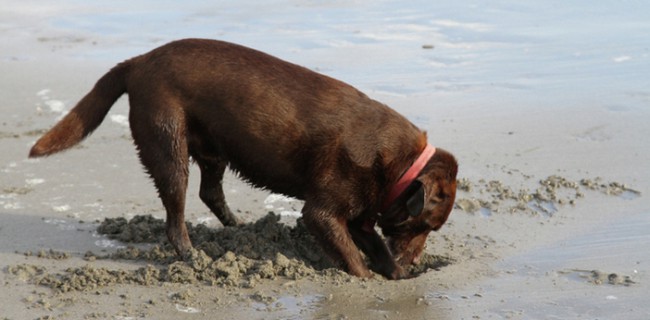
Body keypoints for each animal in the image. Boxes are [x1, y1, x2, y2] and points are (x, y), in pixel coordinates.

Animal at [29, 38, 456, 278]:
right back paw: (193, 256)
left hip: (212, 148)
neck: (400, 166)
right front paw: (370, 279)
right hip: (168, 144)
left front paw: (396, 273)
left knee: (210, 192)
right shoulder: (323, 212)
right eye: (425, 226)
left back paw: (238, 229)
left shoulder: (360, 218)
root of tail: (139, 61)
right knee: (176, 214)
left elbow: (375, 247)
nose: (415, 263)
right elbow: (353, 258)